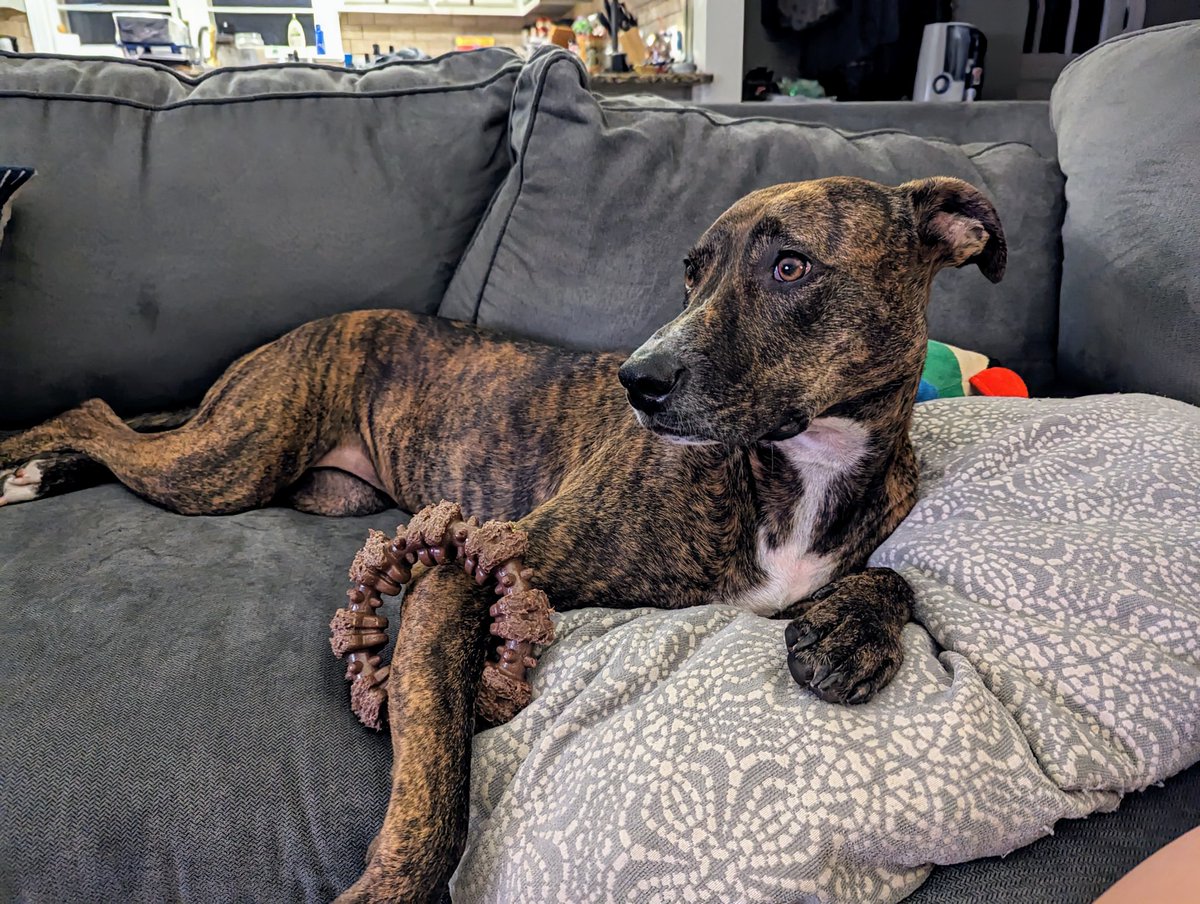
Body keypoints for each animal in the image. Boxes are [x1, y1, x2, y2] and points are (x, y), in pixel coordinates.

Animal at [2, 174, 1003, 897]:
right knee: (98, 412)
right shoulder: (473, 564)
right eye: (692, 272)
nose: (638, 382)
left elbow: (896, 578)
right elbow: (436, 780)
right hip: (229, 461)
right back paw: (21, 464)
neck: (798, 468)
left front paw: (851, 629)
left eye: (790, 267)